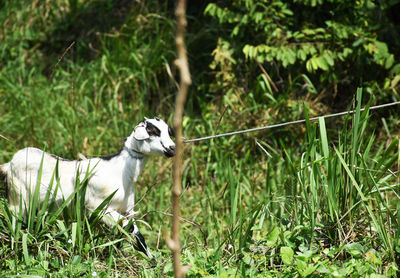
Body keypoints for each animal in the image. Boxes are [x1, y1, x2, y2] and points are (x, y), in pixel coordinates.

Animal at [0, 117, 175, 260]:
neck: (120, 171)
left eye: (168, 130)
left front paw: (150, 258)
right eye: (153, 131)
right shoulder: (99, 208)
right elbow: (129, 227)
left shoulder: (127, 209)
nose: (172, 148)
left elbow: (130, 230)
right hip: (18, 199)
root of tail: (9, 164)